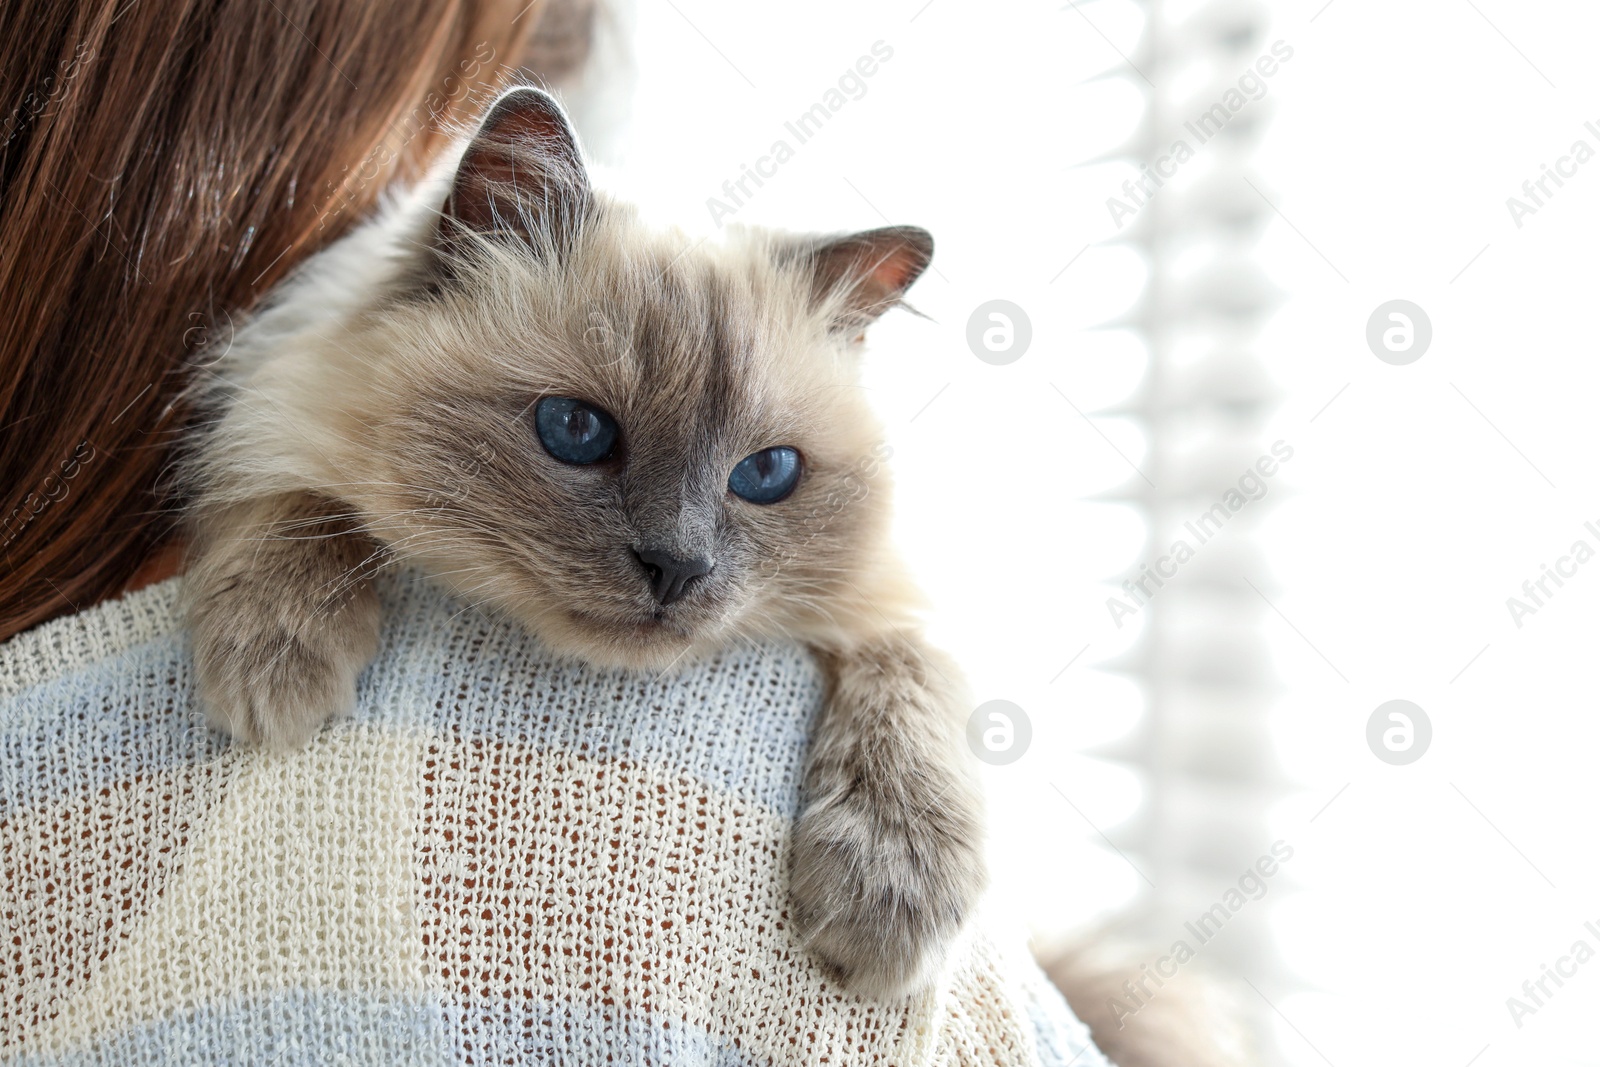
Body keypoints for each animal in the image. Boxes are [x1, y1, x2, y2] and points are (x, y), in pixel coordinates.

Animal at [187, 85, 985, 1004]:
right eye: (575, 430)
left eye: (766, 473)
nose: (676, 566)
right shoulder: (277, 407)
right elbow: (299, 496)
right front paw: (278, 669)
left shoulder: (895, 606)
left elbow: (911, 687)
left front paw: (892, 895)